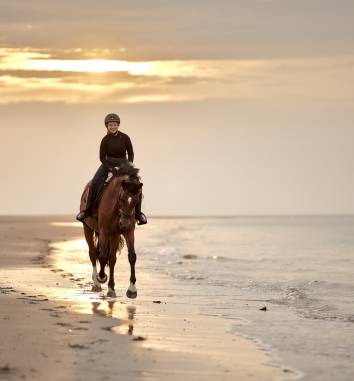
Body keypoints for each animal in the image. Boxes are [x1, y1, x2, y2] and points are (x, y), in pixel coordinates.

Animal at [79, 160, 142, 296]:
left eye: (137, 200)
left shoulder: (128, 232)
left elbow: (131, 256)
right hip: (87, 228)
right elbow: (102, 255)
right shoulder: (104, 231)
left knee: (112, 258)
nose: (124, 223)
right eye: (121, 198)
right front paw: (101, 277)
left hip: (114, 235)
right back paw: (96, 284)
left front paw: (132, 289)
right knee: (93, 253)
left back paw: (111, 289)